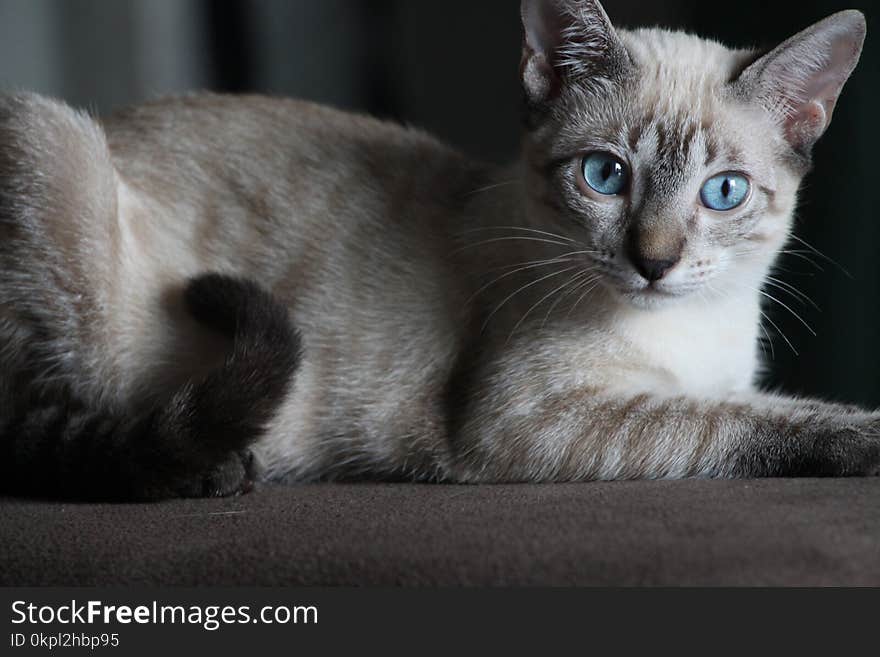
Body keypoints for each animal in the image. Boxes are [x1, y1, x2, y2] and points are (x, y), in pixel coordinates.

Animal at [0, 0, 876, 500]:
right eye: (604, 175)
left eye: (723, 192)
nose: (653, 262)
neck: (698, 329)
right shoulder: (528, 419)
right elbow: (733, 422)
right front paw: (863, 436)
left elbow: (755, 403)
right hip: (50, 137)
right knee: (40, 429)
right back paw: (213, 468)